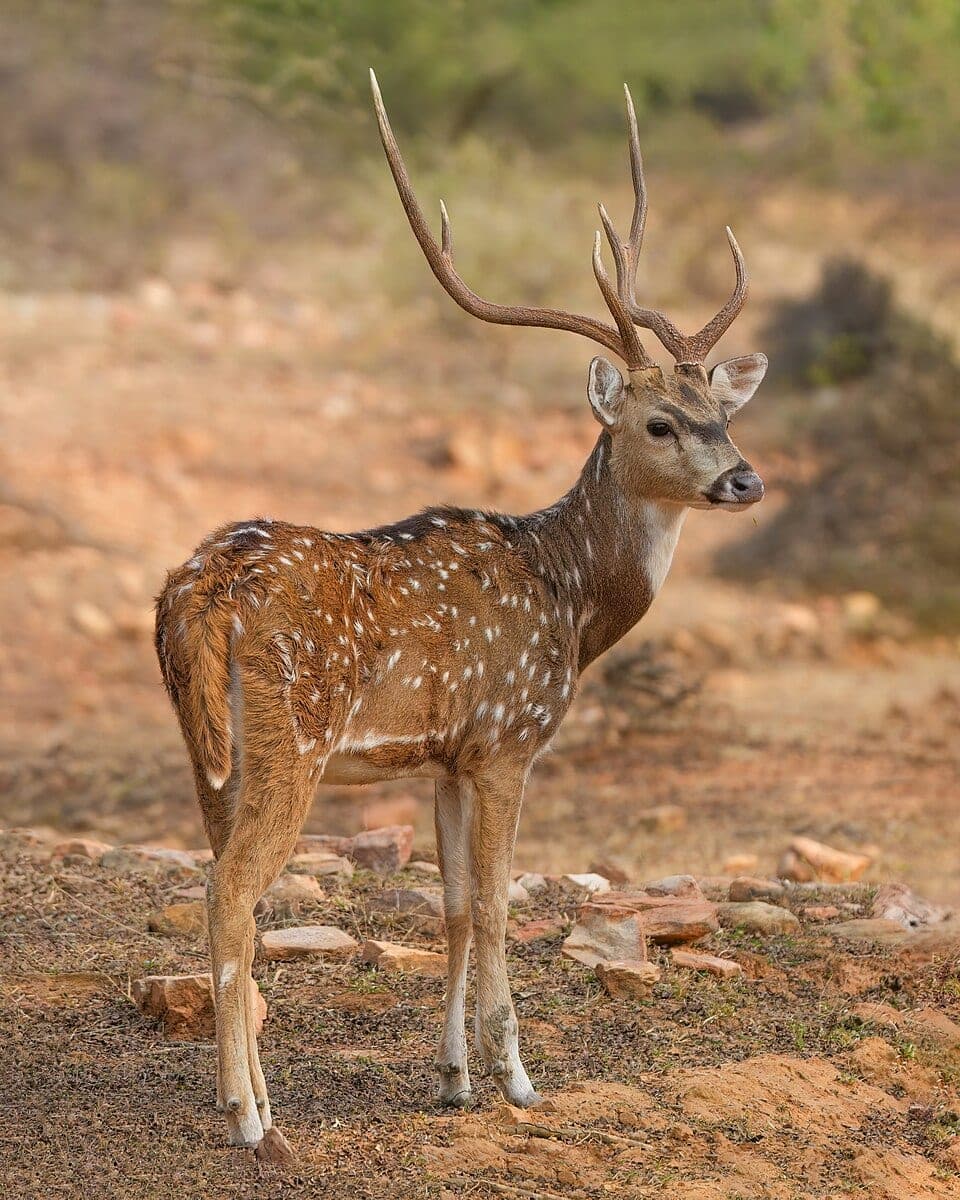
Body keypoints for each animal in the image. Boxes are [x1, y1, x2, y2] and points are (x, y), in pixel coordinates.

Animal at [154, 70, 768, 1157]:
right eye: (660, 422)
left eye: (724, 413)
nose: (746, 478)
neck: (570, 600)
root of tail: (198, 592)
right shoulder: (508, 739)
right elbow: (492, 906)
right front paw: (519, 1078)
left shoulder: (446, 756)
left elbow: (445, 909)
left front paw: (452, 1079)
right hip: (289, 738)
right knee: (232, 893)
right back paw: (251, 1119)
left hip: (208, 749)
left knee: (224, 889)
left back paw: (249, 1098)